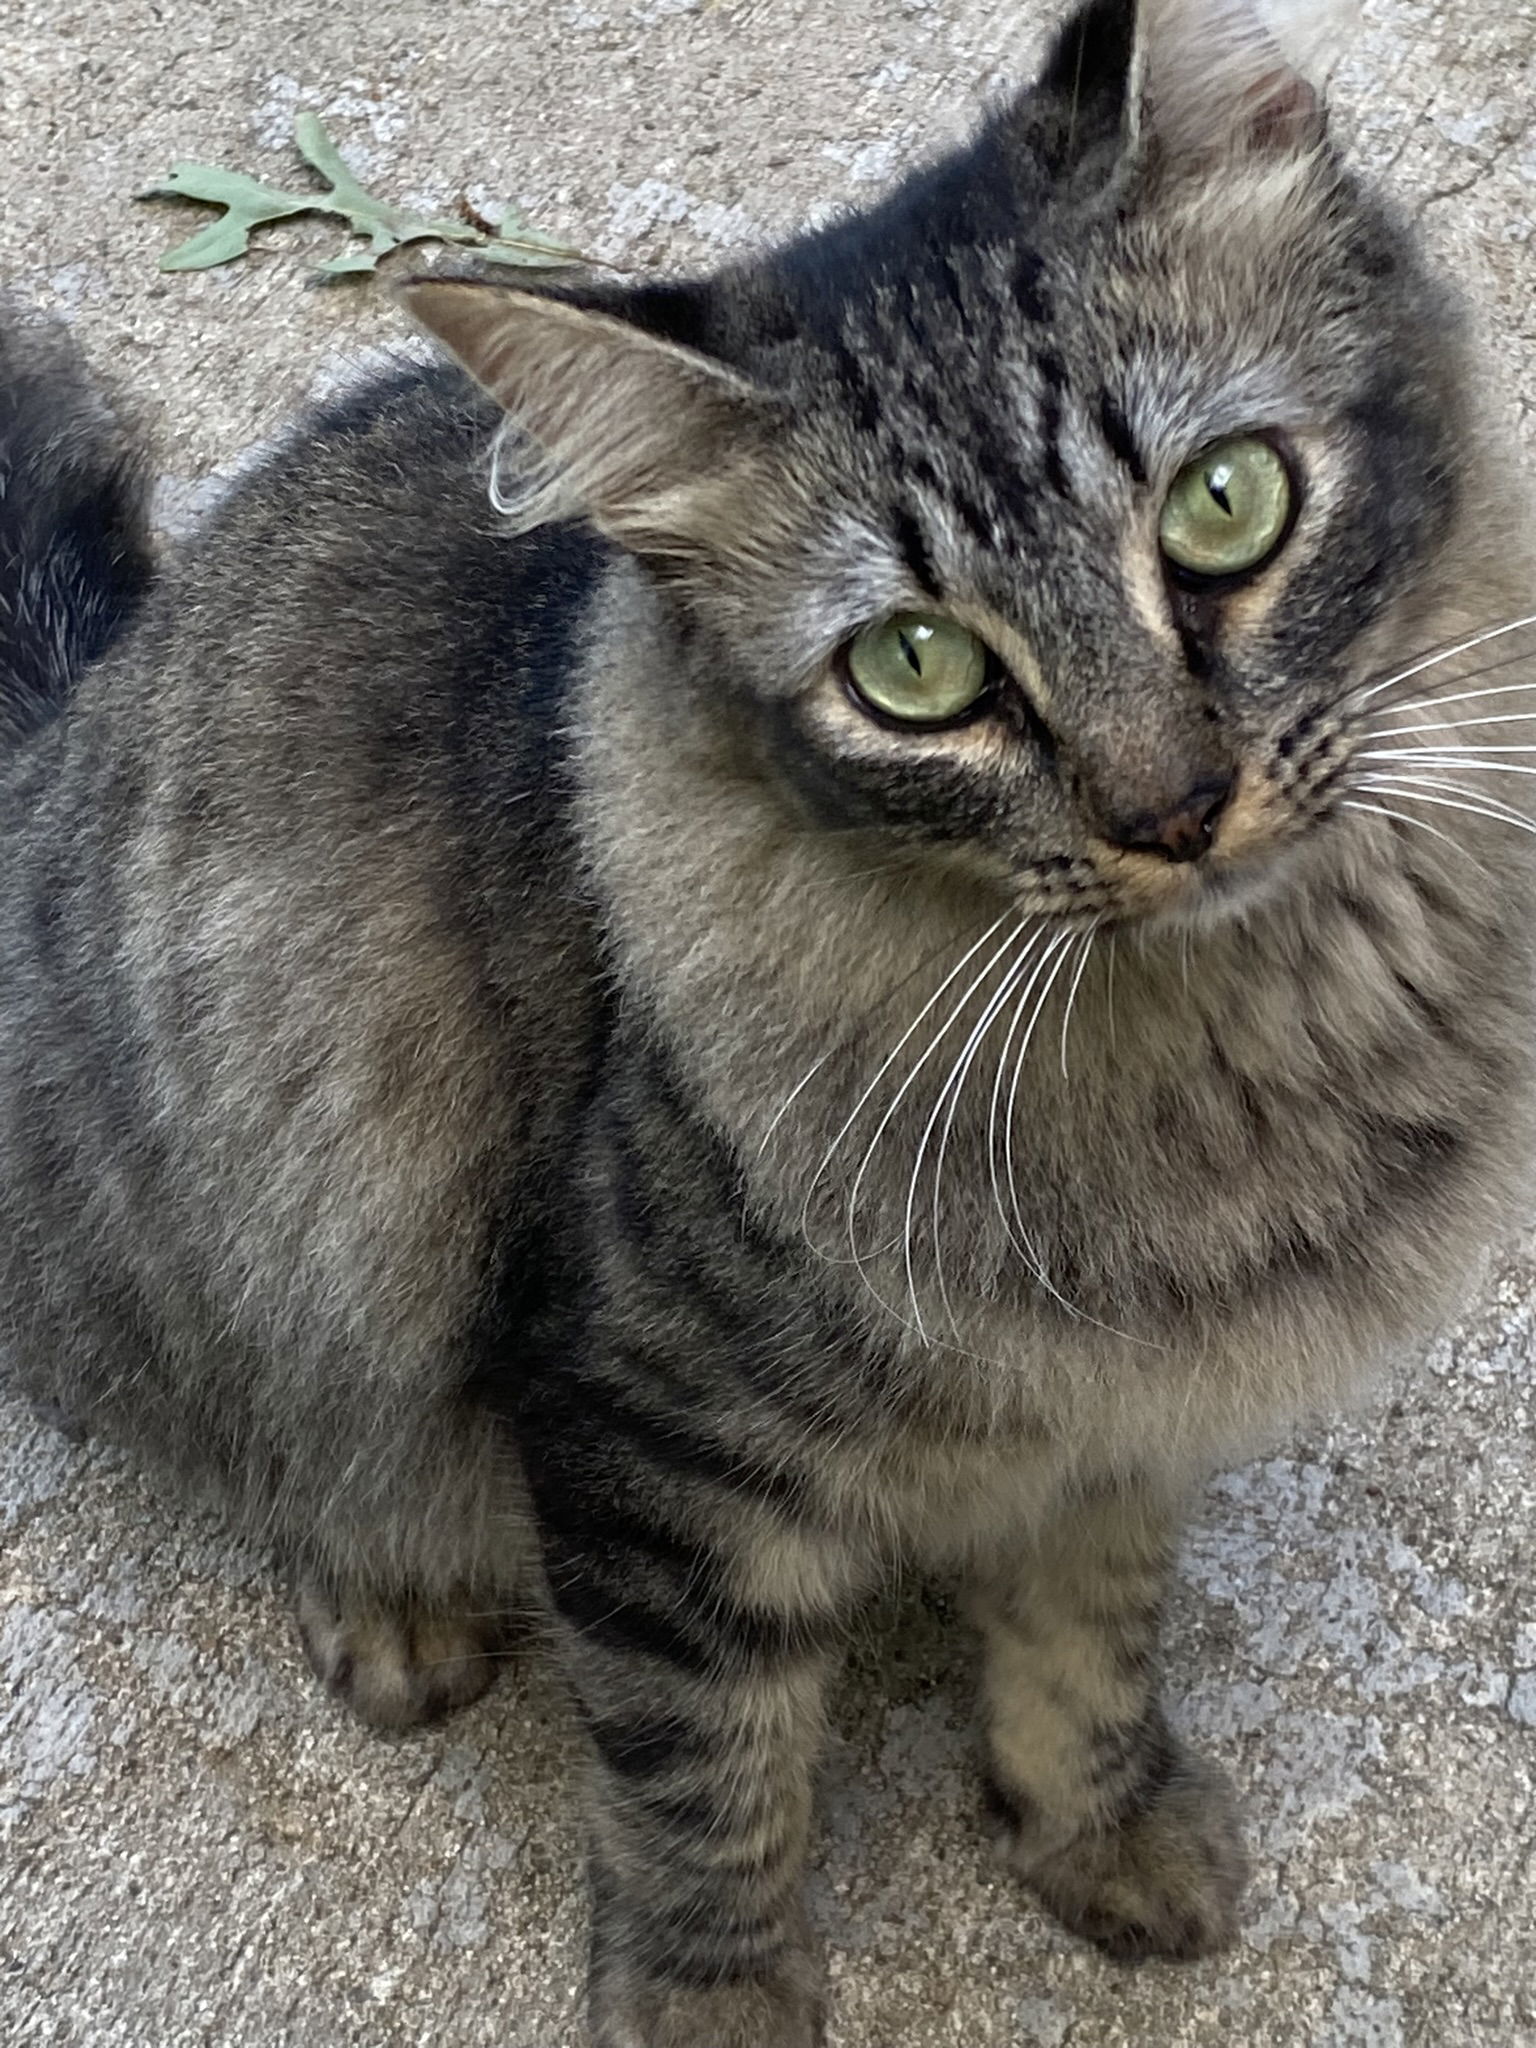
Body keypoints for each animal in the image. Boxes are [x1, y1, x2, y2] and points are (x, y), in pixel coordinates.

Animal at [3, 4, 1536, 2048]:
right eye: (916, 669)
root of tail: (69, 710)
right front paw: (713, 2005)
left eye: (1227, 504)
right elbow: (705, 1793)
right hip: (255, 1250)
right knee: (274, 1437)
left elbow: (1091, 1644)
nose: (1173, 810)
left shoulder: (1122, 1420)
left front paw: (1099, 1826)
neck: (1221, 1053)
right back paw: (394, 1604)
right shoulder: (651, 1446)